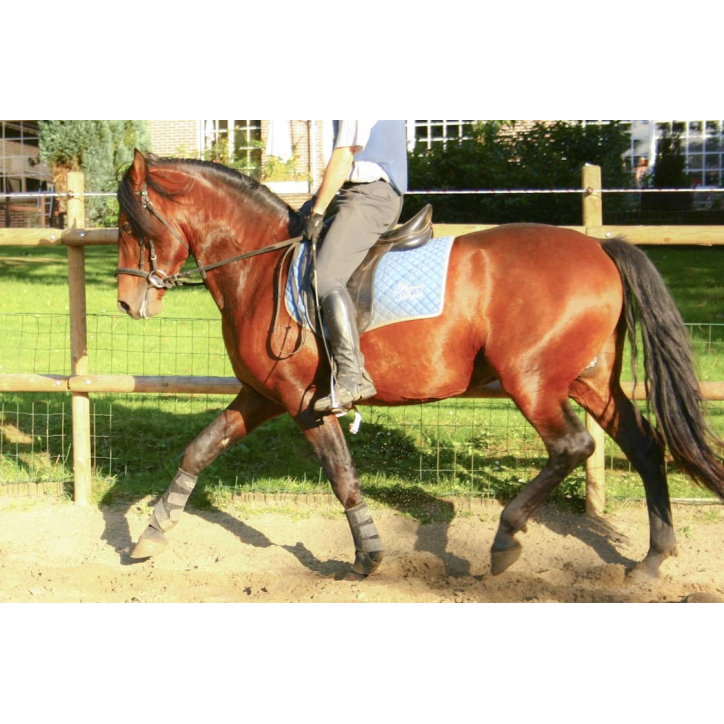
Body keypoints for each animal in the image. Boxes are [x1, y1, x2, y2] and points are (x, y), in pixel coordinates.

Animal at [115, 150, 724, 580]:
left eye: (129, 225)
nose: (126, 303)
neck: (261, 266)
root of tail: (600, 248)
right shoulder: (265, 394)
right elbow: (200, 448)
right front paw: (151, 533)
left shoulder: (304, 403)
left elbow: (342, 475)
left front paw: (367, 556)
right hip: (589, 379)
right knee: (645, 445)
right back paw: (651, 560)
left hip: (533, 381)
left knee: (573, 447)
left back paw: (506, 537)